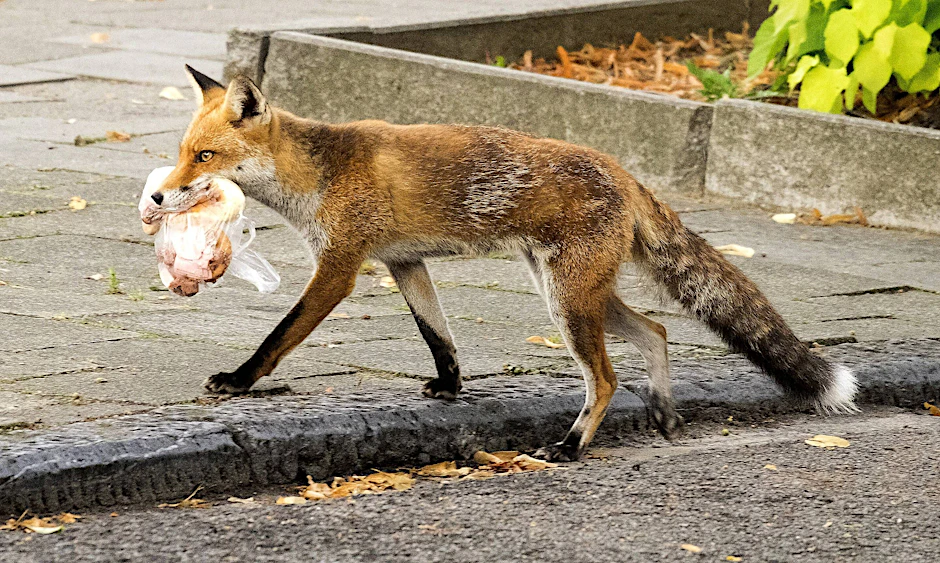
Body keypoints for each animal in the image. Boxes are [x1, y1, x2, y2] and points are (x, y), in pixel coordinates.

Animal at [148, 65, 859, 461]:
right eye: (183, 153)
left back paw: (572, 447)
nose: (156, 197)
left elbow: (279, 336)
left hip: (568, 304)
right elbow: (439, 336)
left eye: (204, 157)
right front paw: (451, 388)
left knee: (605, 379)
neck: (318, 174)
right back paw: (661, 411)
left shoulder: (340, 268)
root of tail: (621, 169)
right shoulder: (406, 264)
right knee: (655, 331)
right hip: (573, 295)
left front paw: (239, 381)